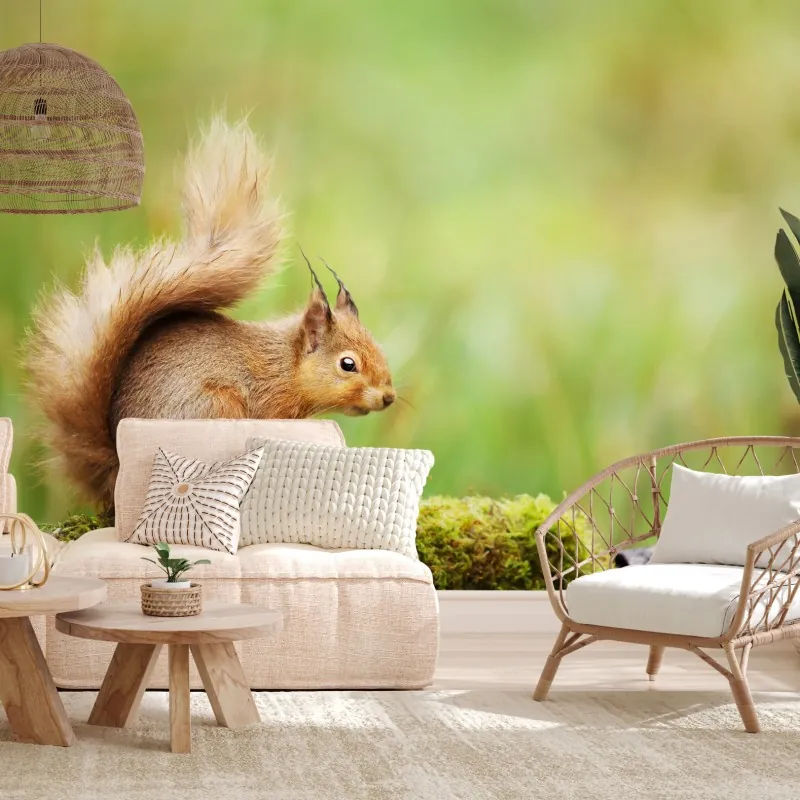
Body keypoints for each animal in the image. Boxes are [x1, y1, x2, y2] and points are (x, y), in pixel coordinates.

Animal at [25, 117, 396, 511]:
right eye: (347, 364)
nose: (388, 397)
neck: (285, 366)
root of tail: (116, 474)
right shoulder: (269, 404)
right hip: (214, 408)